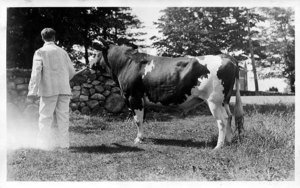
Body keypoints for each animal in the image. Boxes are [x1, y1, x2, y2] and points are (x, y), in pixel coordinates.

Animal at [91, 38, 244, 150]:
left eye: (96, 53)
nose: (90, 64)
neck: (126, 63)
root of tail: (226, 56)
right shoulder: (141, 99)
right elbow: (142, 119)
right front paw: (142, 137)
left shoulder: (134, 97)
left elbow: (137, 120)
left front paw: (138, 139)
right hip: (224, 100)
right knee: (230, 116)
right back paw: (229, 141)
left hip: (214, 101)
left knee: (222, 120)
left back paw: (219, 146)